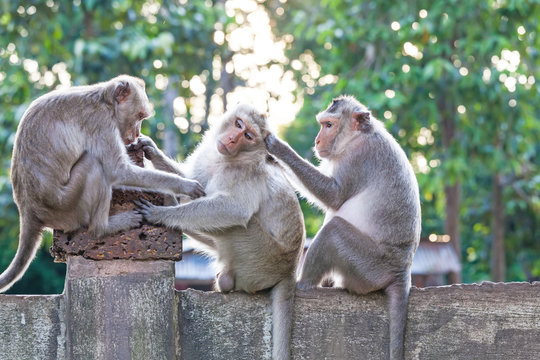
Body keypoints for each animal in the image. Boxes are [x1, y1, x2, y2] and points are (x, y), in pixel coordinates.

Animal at [0, 75, 206, 292]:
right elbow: (117, 170)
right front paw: (184, 185)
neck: (105, 101)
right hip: (67, 206)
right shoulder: (100, 122)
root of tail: (28, 210)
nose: (136, 134)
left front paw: (150, 147)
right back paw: (104, 227)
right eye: (140, 115)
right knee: (95, 164)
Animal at [133, 104, 306, 360]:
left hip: (261, 256)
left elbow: (234, 209)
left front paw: (161, 214)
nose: (233, 139)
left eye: (248, 136)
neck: (230, 158)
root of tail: (291, 270)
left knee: (235, 221)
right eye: (238, 124)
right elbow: (196, 186)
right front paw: (153, 152)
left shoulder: (241, 173)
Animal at [264, 95, 420, 360]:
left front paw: (277, 147)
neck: (359, 136)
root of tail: (402, 270)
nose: (317, 140)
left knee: (333, 230)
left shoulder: (358, 157)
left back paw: (303, 285)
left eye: (329, 125)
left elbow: (333, 196)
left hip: (369, 268)